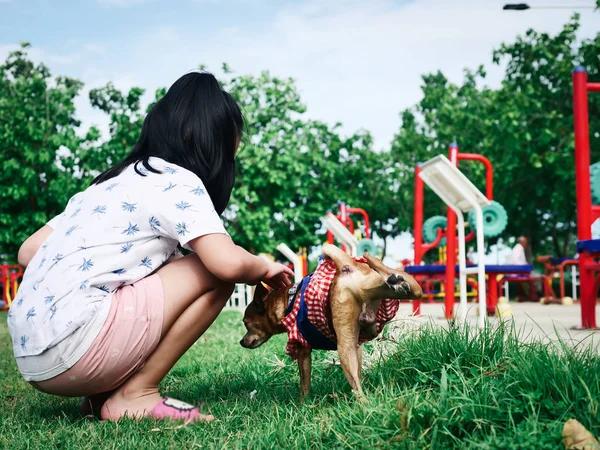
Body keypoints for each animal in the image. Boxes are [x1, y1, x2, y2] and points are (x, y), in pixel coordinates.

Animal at [239, 244, 422, 400]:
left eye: (246, 323)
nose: (241, 341)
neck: (289, 300)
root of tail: (346, 269)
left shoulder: (303, 349)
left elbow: (304, 382)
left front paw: (302, 404)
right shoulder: (358, 346)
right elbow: (360, 369)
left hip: (344, 347)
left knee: (359, 392)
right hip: (402, 291)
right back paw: (388, 276)